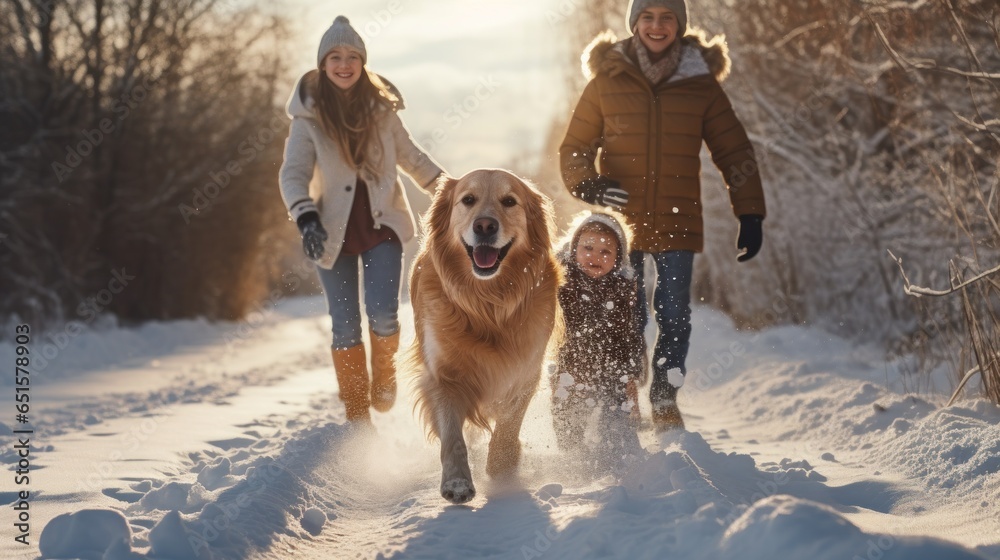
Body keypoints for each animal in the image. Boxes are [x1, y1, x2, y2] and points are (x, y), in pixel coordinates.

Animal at [406, 167, 564, 504]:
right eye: (468, 200)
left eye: (509, 201)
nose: (485, 226)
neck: (486, 304)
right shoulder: (443, 376)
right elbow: (452, 436)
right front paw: (457, 483)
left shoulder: (525, 370)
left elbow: (508, 424)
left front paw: (502, 469)